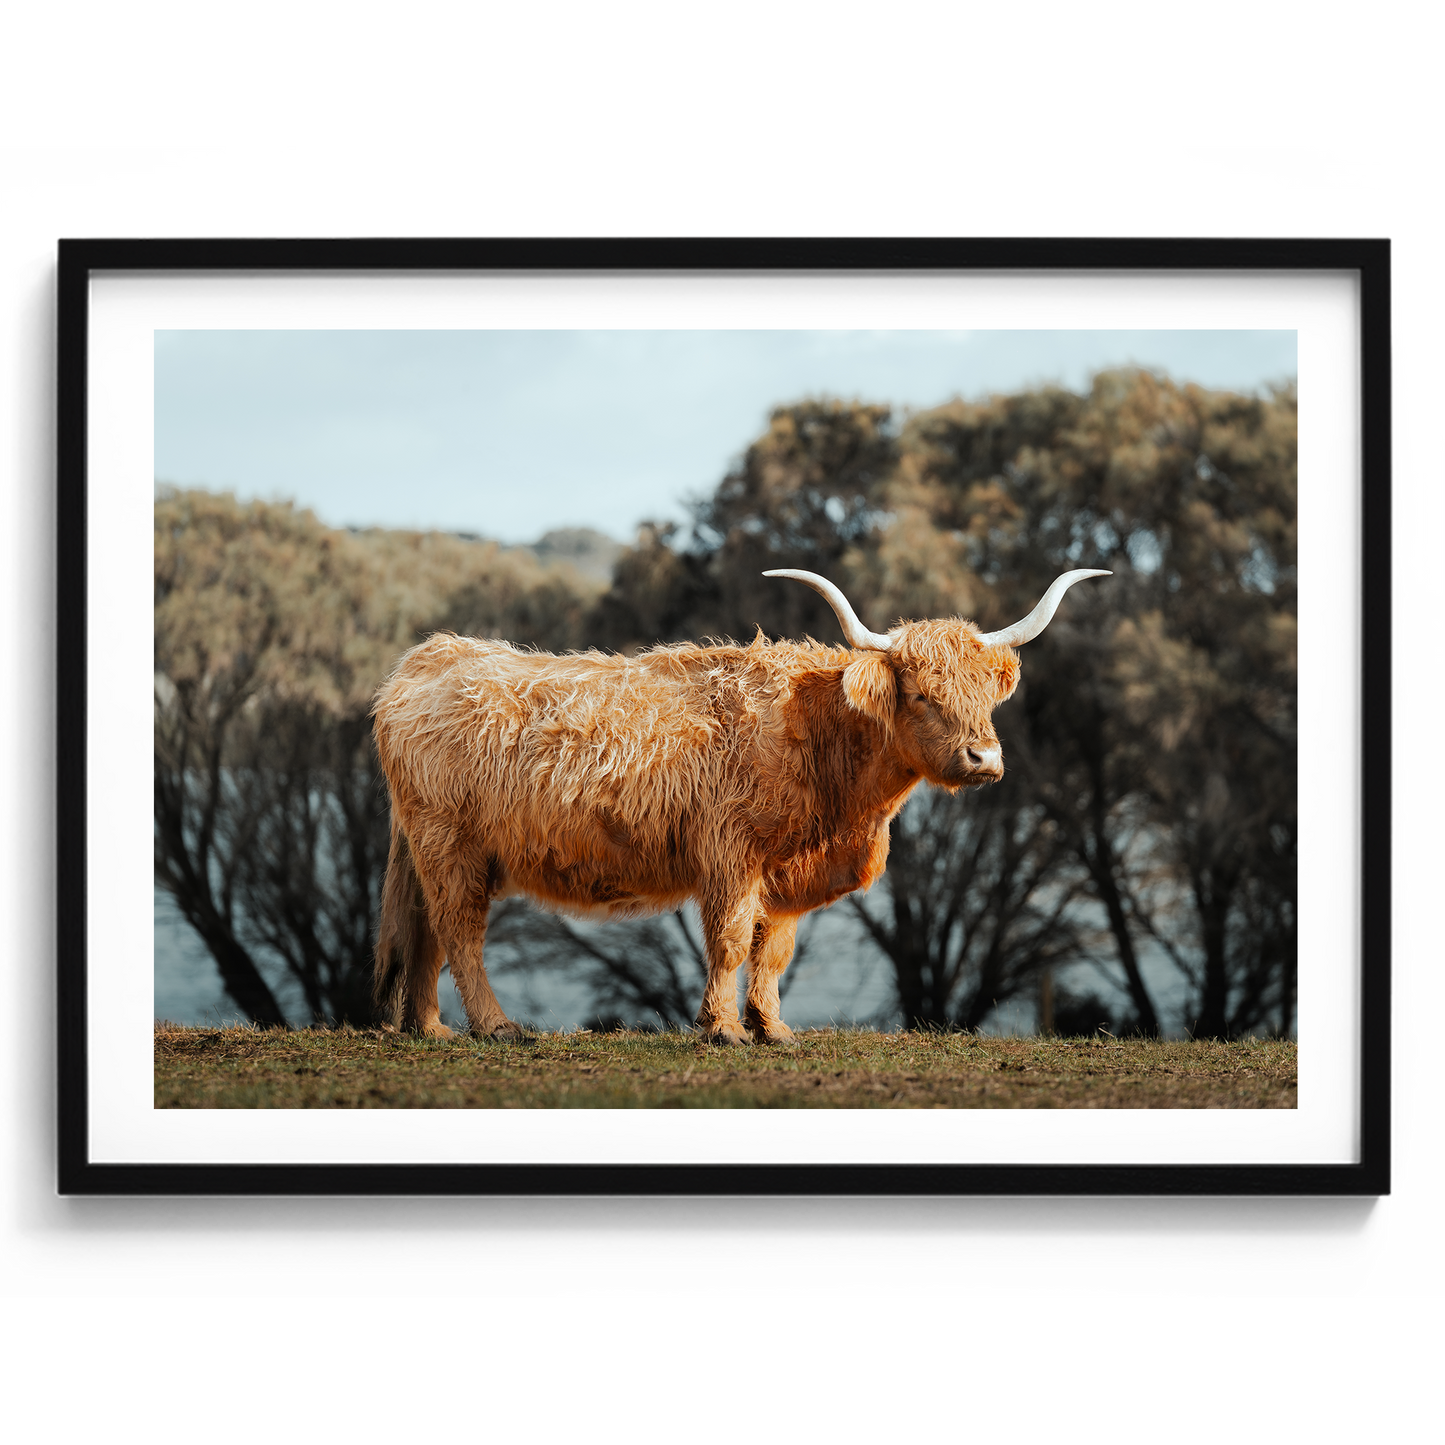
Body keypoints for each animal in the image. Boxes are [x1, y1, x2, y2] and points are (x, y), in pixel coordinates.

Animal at [371, 567, 1109, 1043]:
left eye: (985, 694)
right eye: (923, 695)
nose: (984, 759)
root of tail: (430, 656)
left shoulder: (784, 870)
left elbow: (772, 949)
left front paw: (773, 1028)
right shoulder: (730, 852)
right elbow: (728, 940)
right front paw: (722, 1028)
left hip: (434, 850)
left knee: (426, 933)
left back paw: (431, 1029)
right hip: (451, 844)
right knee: (460, 931)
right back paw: (495, 1027)